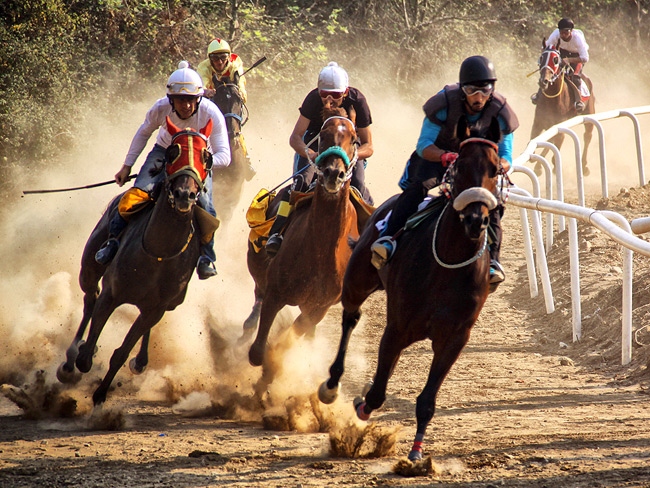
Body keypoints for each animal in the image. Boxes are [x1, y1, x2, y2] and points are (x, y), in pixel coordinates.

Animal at [55, 116, 213, 406]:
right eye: (172, 152)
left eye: (206, 157)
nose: (184, 194)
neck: (158, 252)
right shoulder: (112, 293)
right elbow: (89, 348)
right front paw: (80, 358)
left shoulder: (156, 307)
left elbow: (121, 351)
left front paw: (101, 394)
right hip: (89, 268)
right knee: (90, 299)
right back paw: (69, 361)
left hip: (170, 303)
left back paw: (140, 362)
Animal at [242, 112, 360, 368]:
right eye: (323, 136)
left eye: (355, 140)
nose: (333, 174)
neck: (320, 251)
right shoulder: (276, 292)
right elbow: (257, 352)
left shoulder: (318, 307)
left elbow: (295, 331)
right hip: (257, 266)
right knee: (258, 294)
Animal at [318, 114, 502, 462]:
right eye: (459, 166)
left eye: (496, 169)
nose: (476, 219)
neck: (447, 264)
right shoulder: (398, 327)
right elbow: (376, 394)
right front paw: (361, 406)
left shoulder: (454, 338)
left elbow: (427, 401)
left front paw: (416, 455)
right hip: (357, 280)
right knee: (350, 317)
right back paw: (332, 383)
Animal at [528, 41, 596, 176]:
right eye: (541, 58)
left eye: (555, 59)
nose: (544, 81)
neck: (552, 100)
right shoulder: (539, 122)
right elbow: (533, 140)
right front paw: (536, 163)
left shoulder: (560, 126)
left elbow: (554, 148)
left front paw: (551, 166)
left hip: (589, 113)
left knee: (587, 135)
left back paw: (584, 166)